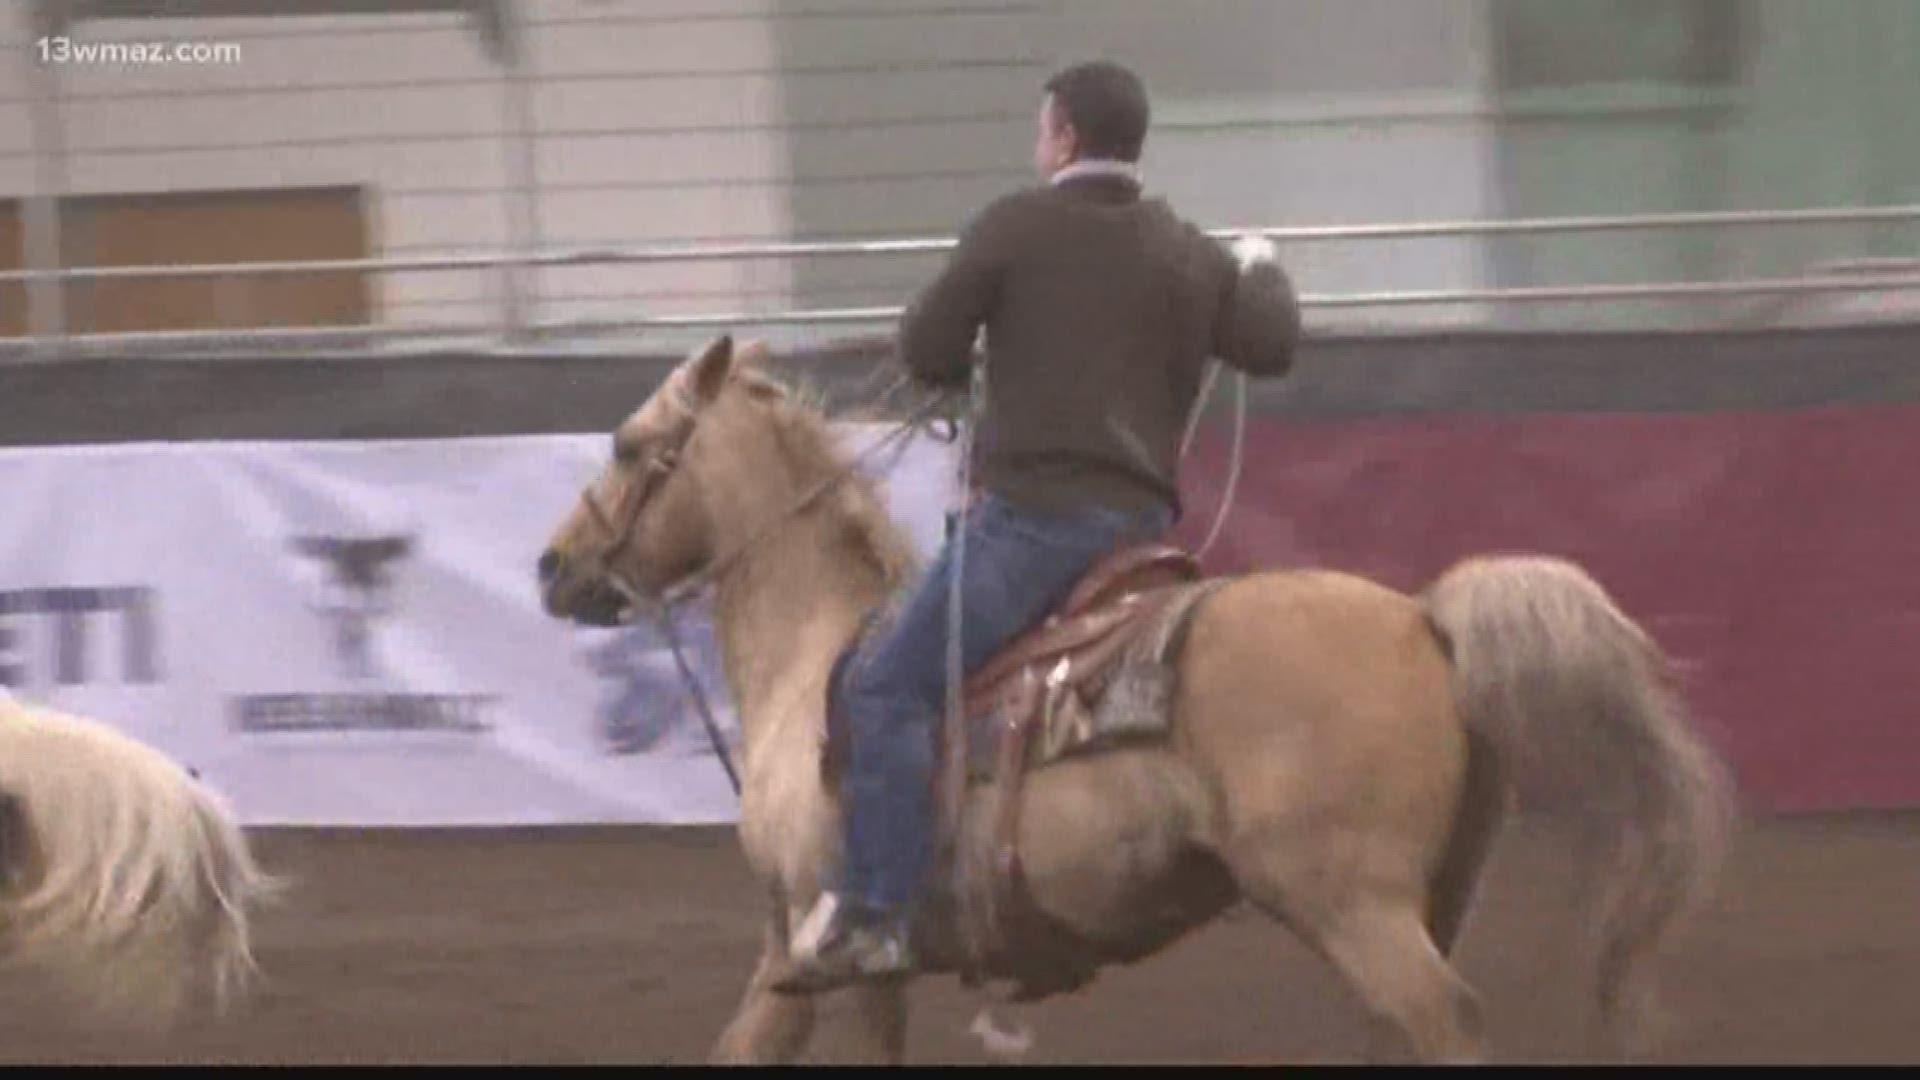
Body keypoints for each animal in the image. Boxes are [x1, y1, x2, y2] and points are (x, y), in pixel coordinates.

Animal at [537, 336, 1743, 1060]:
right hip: (1423, 898)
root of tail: (1425, 616)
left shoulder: (817, 944)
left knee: (1443, 1022)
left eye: (629, 446)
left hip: (1350, 903)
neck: (814, 650)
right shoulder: (834, 955)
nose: (553, 567)